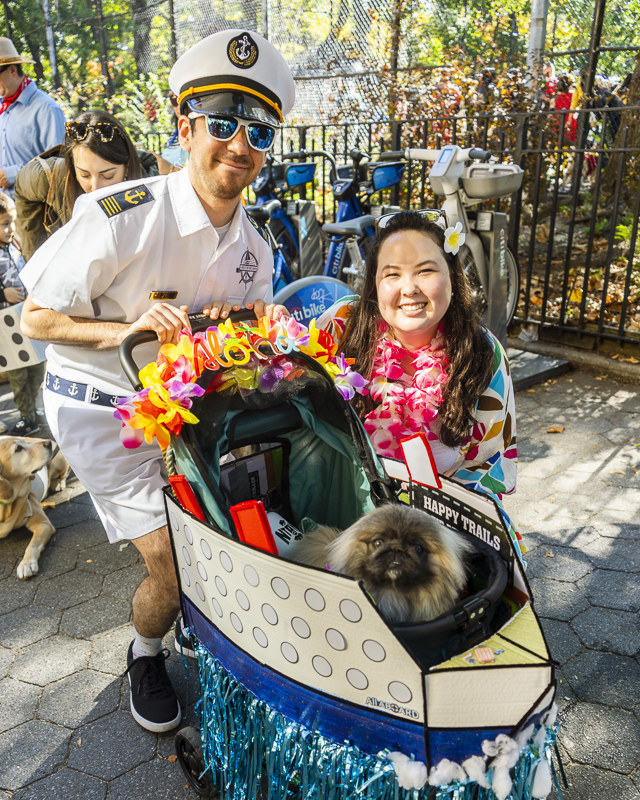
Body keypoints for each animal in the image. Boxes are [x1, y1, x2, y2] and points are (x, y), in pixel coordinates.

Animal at [0, 438, 70, 580]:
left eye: (22, 442)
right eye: (18, 448)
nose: (48, 443)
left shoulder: (43, 524)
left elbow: (32, 546)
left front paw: (26, 563)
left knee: (63, 476)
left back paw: (58, 484)